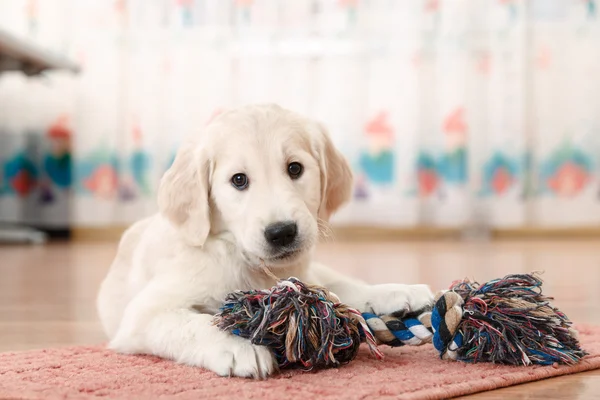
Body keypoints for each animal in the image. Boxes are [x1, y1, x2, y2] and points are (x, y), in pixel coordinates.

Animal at [99, 103, 436, 378]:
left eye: (295, 168)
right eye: (238, 180)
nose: (282, 232)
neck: (236, 253)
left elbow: (338, 292)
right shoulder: (143, 314)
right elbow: (195, 324)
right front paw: (239, 347)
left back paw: (402, 292)